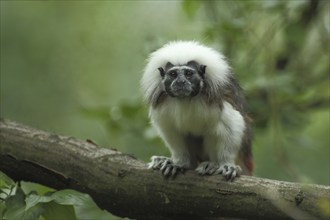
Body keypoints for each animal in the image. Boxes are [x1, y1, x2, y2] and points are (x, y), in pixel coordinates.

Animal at [141, 40, 253, 180]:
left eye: (188, 74)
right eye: (173, 74)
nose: (181, 82)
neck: (185, 99)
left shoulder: (217, 100)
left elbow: (231, 124)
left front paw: (226, 164)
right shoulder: (163, 105)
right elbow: (172, 131)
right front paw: (180, 163)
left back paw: (212, 164)